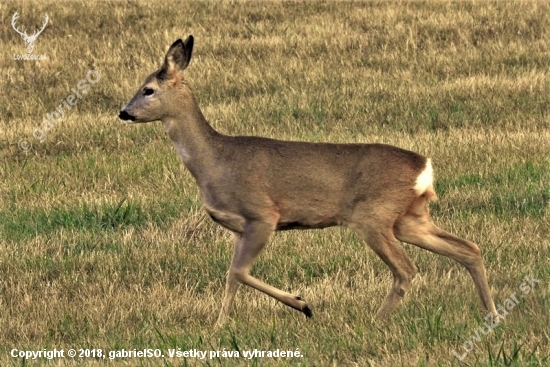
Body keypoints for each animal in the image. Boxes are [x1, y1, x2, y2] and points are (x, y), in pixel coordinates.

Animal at [119, 36, 500, 326]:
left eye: (148, 89)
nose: (124, 112)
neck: (214, 160)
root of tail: (424, 166)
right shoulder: (240, 228)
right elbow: (231, 275)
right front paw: (219, 326)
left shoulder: (262, 215)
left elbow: (239, 272)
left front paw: (302, 304)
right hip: (408, 218)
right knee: (468, 248)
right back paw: (492, 314)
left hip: (373, 215)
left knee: (407, 269)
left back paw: (375, 321)